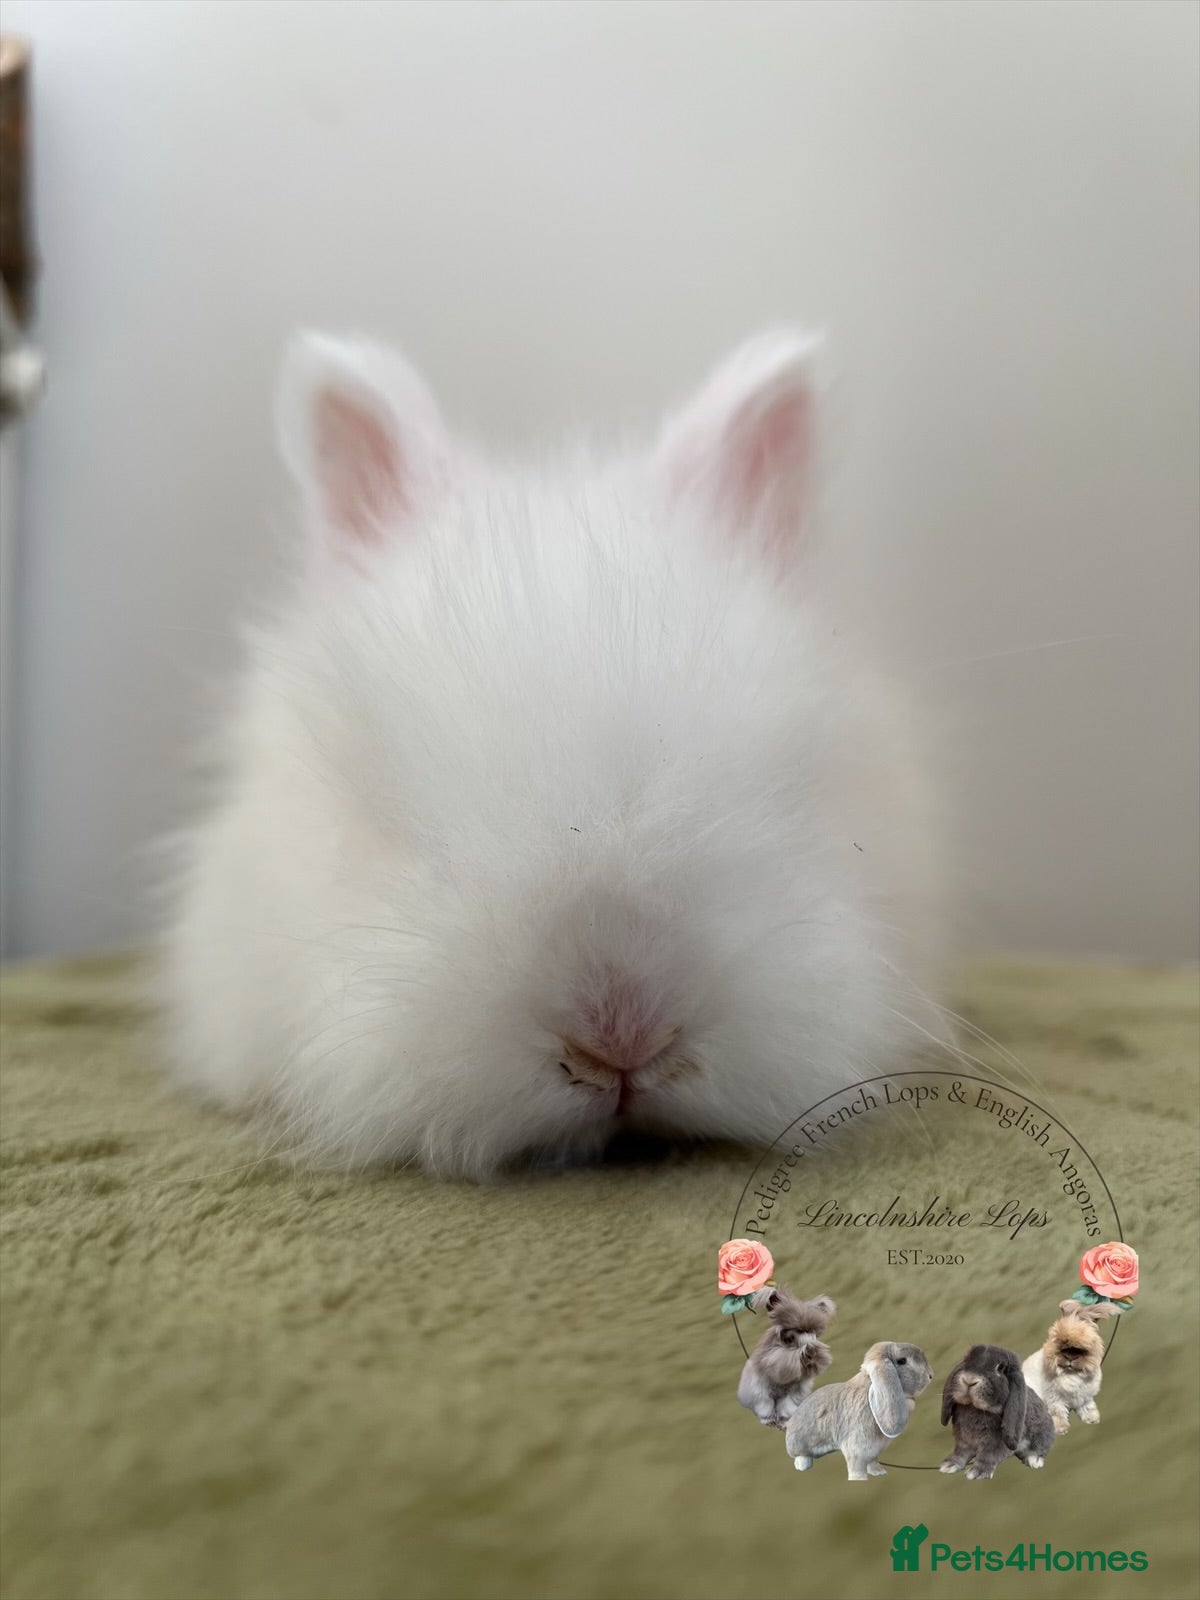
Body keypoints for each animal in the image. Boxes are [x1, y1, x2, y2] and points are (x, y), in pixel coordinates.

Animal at [736, 1288, 836, 1427]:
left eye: (814, 1332)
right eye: (798, 1330)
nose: (811, 1351)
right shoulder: (773, 1356)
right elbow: (784, 1360)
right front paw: (805, 1353)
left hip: (789, 1395)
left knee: (784, 1407)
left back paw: (784, 1422)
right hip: (759, 1392)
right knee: (765, 1407)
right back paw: (769, 1420)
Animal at [785, 1342, 932, 1480]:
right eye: (902, 1361)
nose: (930, 1375)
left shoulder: (872, 1453)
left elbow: (872, 1463)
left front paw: (879, 1472)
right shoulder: (856, 1454)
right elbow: (857, 1471)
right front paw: (860, 1479)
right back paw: (802, 1465)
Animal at [940, 1344, 1055, 1479]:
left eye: (1000, 1368)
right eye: (967, 1359)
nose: (969, 1380)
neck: (975, 1408)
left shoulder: (996, 1443)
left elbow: (987, 1456)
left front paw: (977, 1473)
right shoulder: (963, 1439)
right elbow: (960, 1453)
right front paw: (949, 1465)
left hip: (1042, 1432)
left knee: (1041, 1446)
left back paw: (1034, 1460)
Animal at [1022, 1300, 1111, 1434]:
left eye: (1080, 1349)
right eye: (1061, 1345)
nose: (1069, 1357)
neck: (1070, 1373)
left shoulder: (1084, 1396)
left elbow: (1087, 1407)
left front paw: (1092, 1418)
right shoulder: (1055, 1398)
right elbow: (1058, 1412)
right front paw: (1061, 1428)